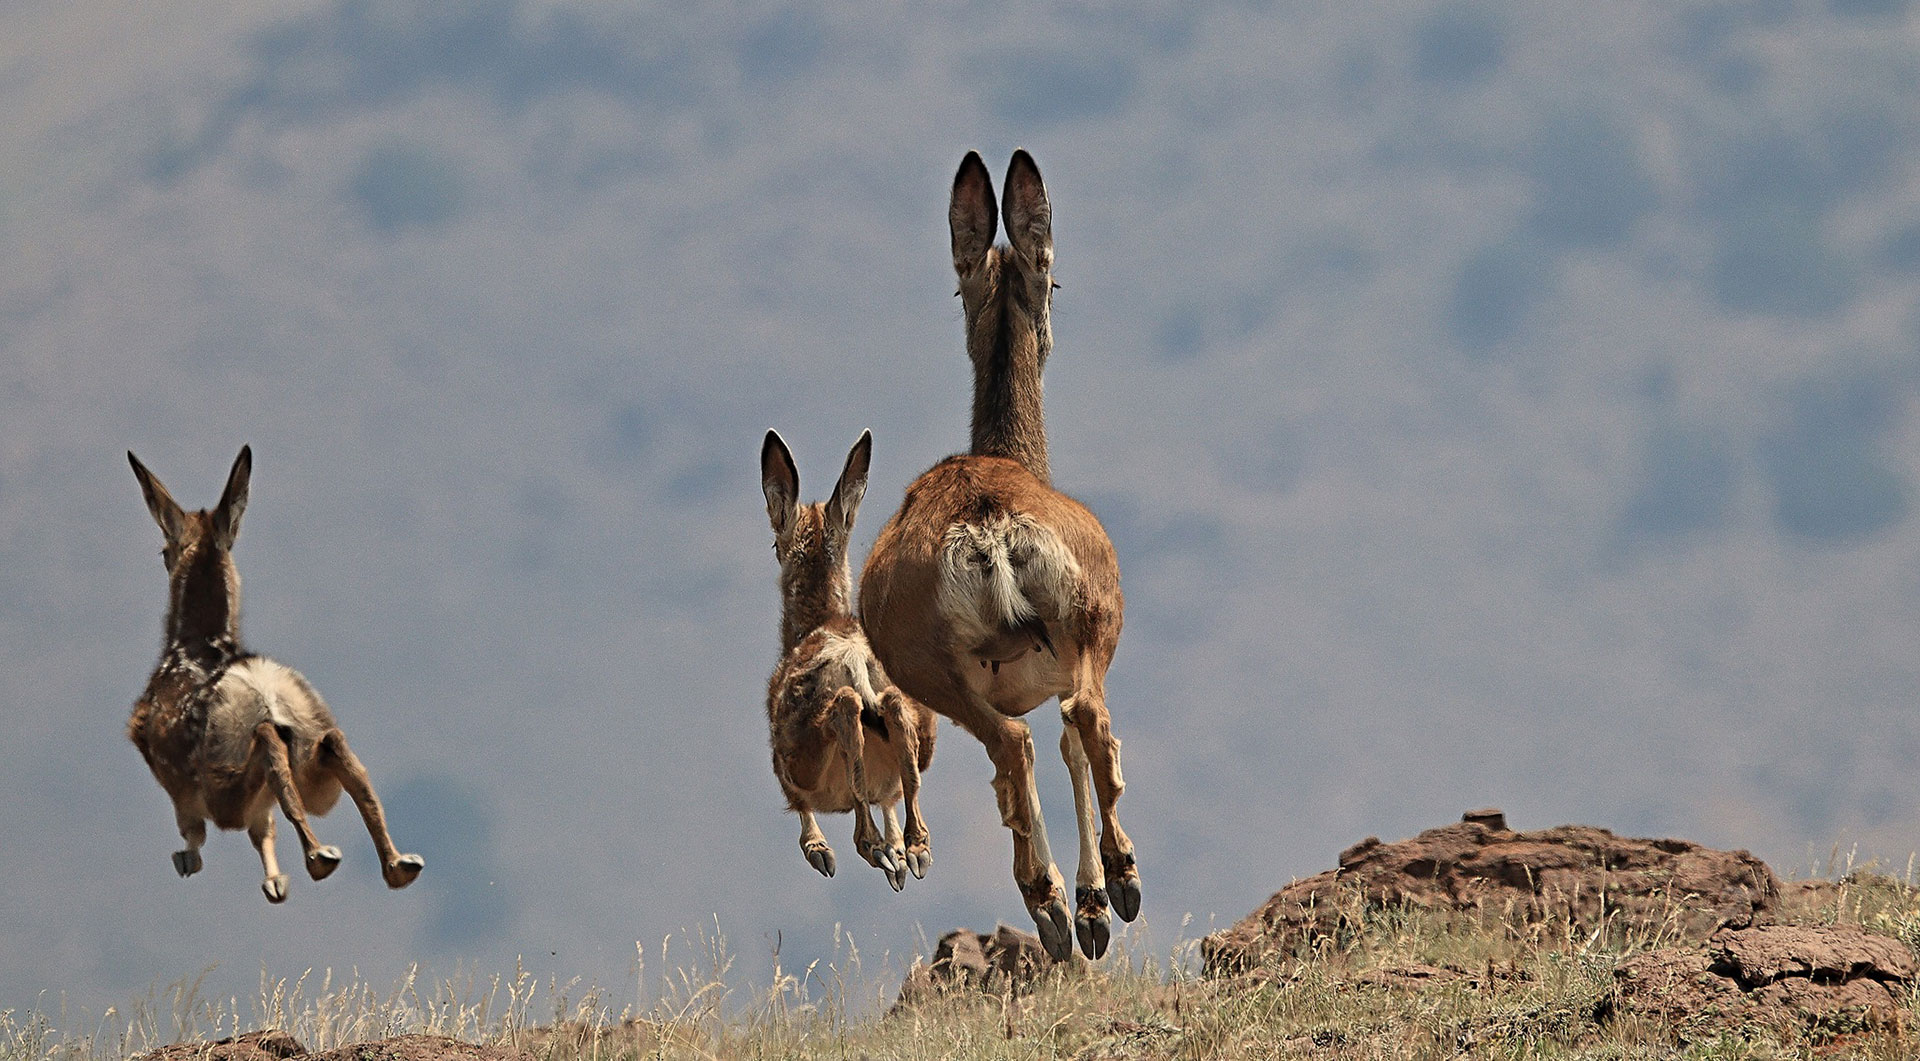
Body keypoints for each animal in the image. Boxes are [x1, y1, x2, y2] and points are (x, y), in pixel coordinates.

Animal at [129, 447, 426, 901]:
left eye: (164, 550)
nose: (165, 557)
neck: (192, 645)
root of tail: (262, 689)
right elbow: (262, 832)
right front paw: (274, 880)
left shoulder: (178, 784)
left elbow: (198, 833)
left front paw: (191, 860)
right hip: (313, 768)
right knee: (333, 745)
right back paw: (396, 863)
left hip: (222, 787)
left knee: (268, 747)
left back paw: (320, 857)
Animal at [756, 427, 936, 886]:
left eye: (774, 543)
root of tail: (851, 655)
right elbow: (889, 797)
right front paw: (898, 852)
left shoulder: (789, 775)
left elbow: (803, 816)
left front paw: (820, 851)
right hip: (919, 727)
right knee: (893, 718)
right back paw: (911, 851)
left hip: (803, 755)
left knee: (846, 710)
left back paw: (870, 847)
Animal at [860, 150, 1136, 959]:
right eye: (1056, 281)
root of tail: (986, 525)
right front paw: (1090, 904)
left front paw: (1090, 904)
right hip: (1027, 641)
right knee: (1049, 734)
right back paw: (1081, 899)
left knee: (1045, 735)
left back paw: (1080, 900)